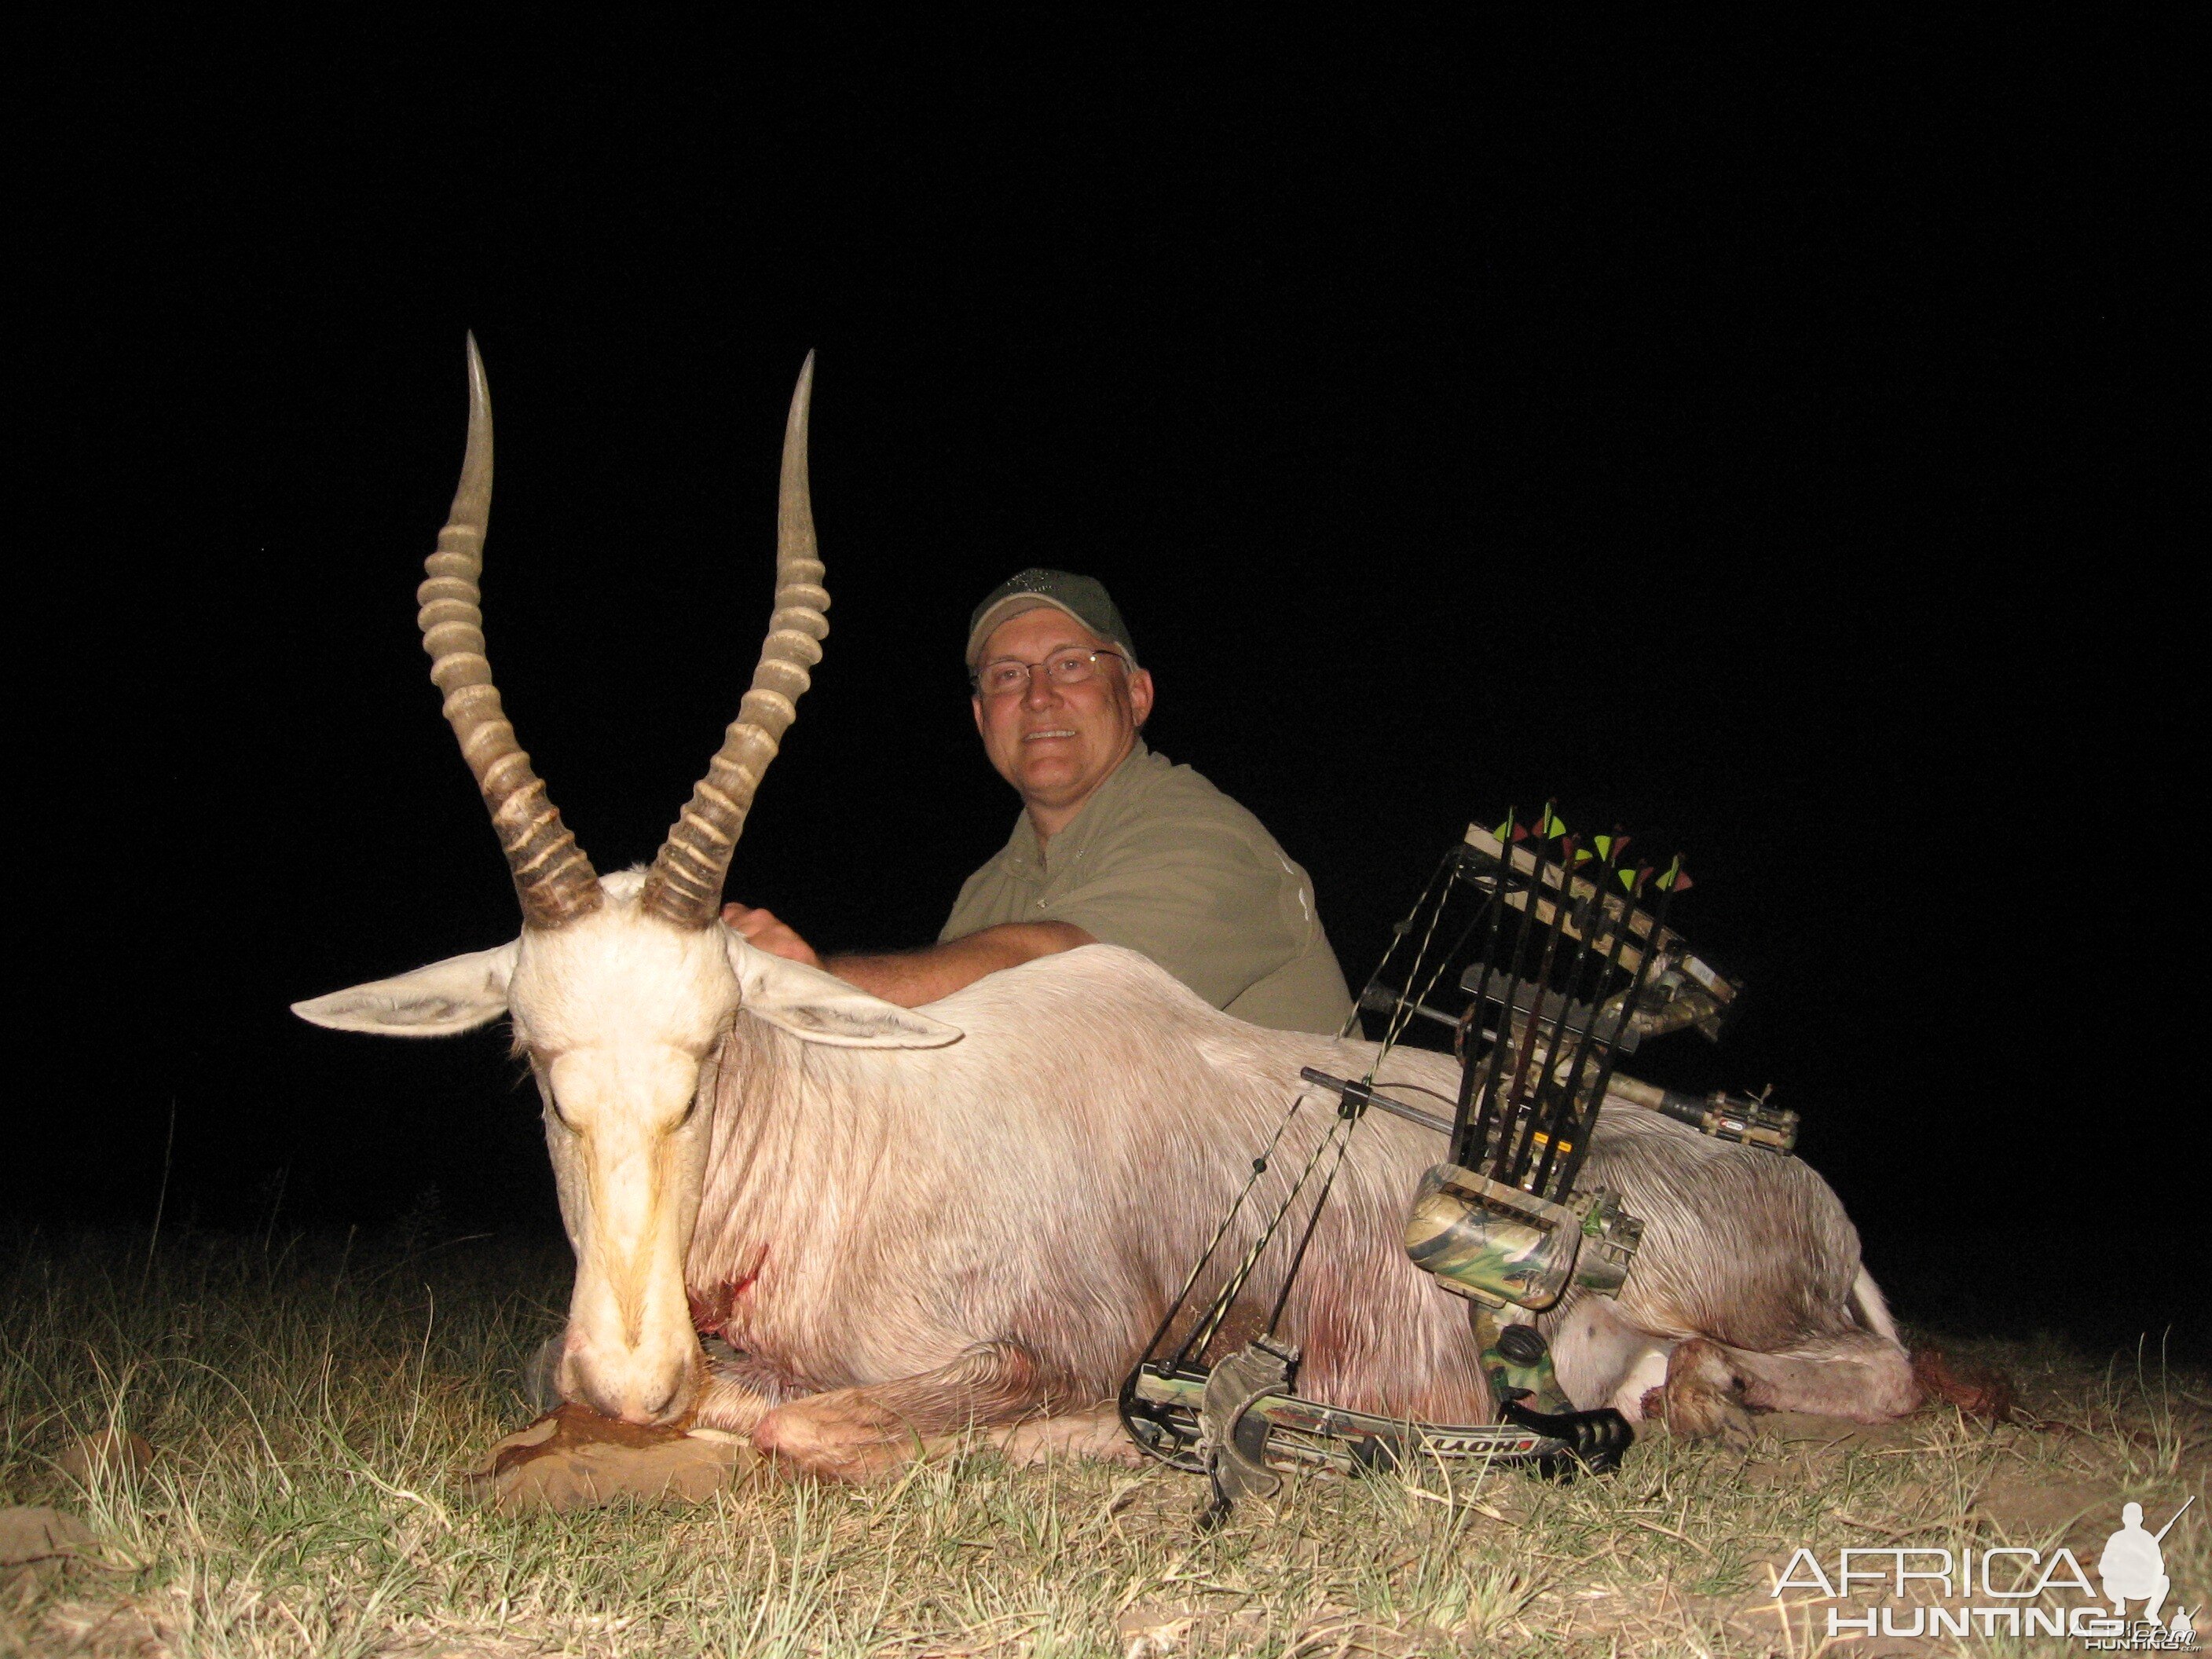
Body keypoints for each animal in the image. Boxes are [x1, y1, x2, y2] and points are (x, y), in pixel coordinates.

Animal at [294, 347, 1920, 1478]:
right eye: (530, 1055)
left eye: (712, 1047)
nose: (629, 1377)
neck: (868, 1120)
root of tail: (1807, 1190)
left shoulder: (1051, 1346)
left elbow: (809, 1422)